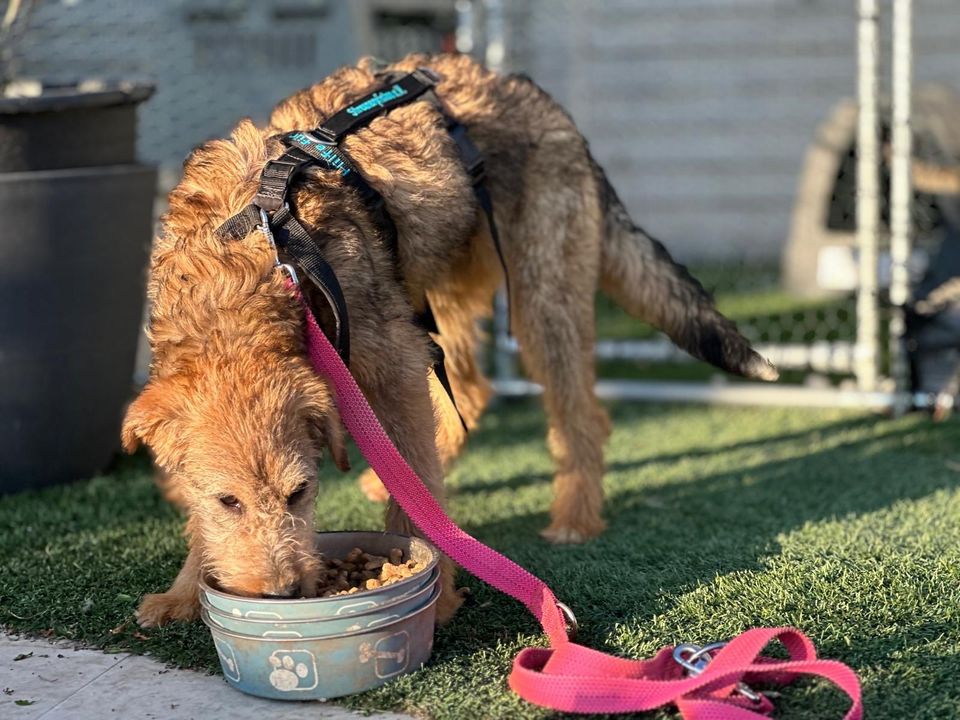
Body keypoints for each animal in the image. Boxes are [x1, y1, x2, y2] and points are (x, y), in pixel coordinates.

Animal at [122, 52, 780, 624]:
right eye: (227, 502)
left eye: (300, 492)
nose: (282, 594)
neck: (247, 258)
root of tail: (529, 91)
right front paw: (184, 594)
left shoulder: (389, 365)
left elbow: (414, 482)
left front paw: (433, 597)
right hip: (442, 293)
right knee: (472, 390)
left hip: (539, 299)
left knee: (578, 415)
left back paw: (574, 517)